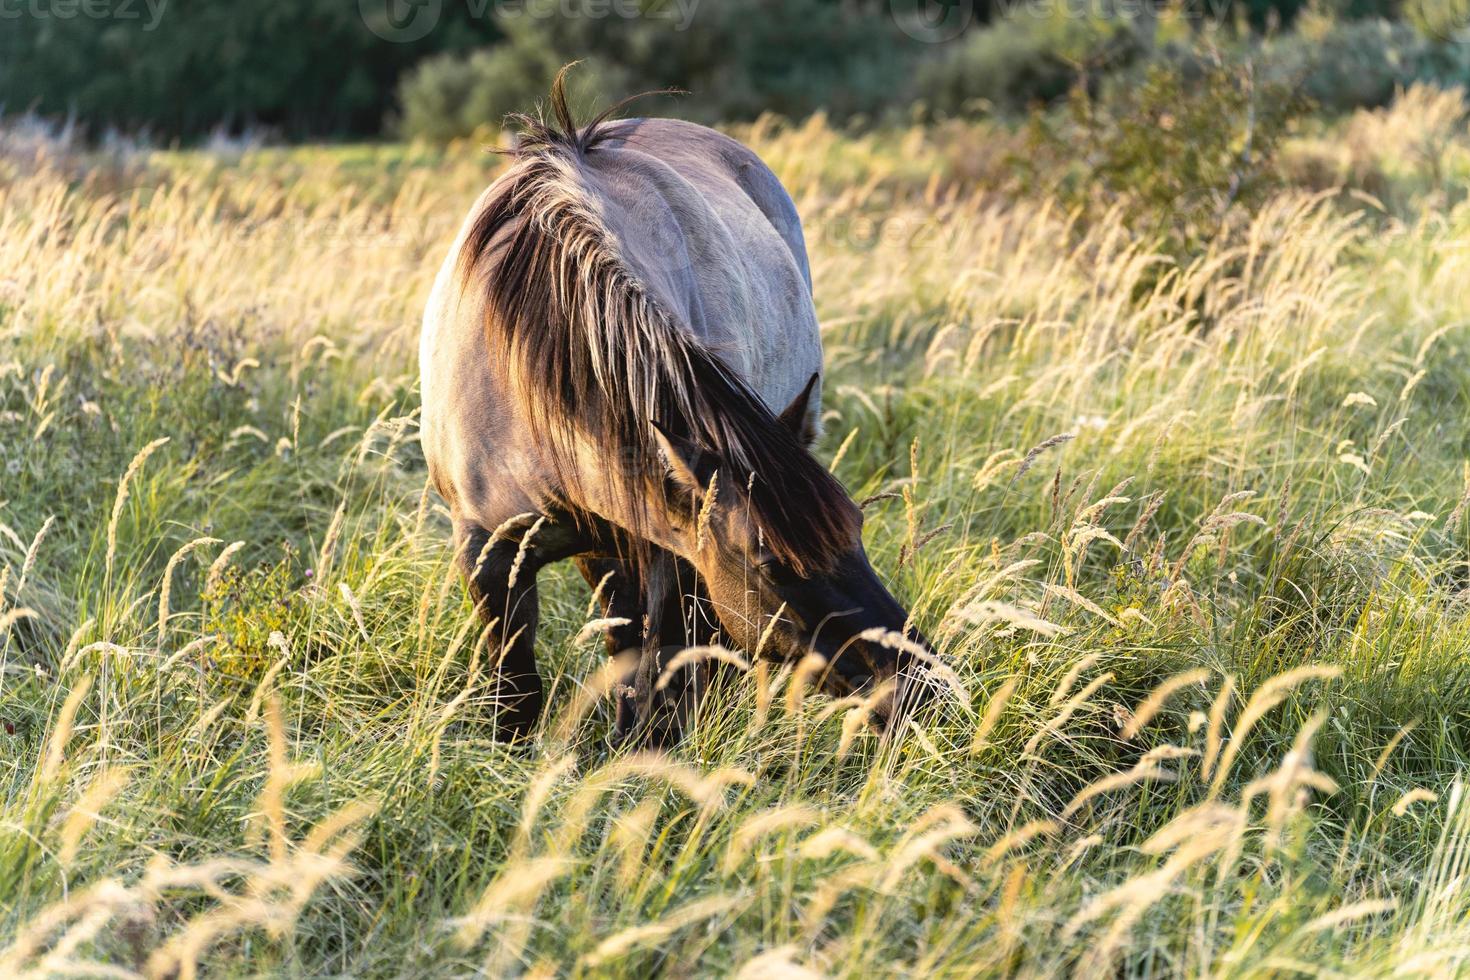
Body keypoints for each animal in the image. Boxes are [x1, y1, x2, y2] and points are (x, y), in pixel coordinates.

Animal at [420, 72, 934, 746]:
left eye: (858, 528)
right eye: (770, 564)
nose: (919, 687)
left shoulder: (665, 555)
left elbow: (653, 687)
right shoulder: (487, 553)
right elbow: (518, 697)